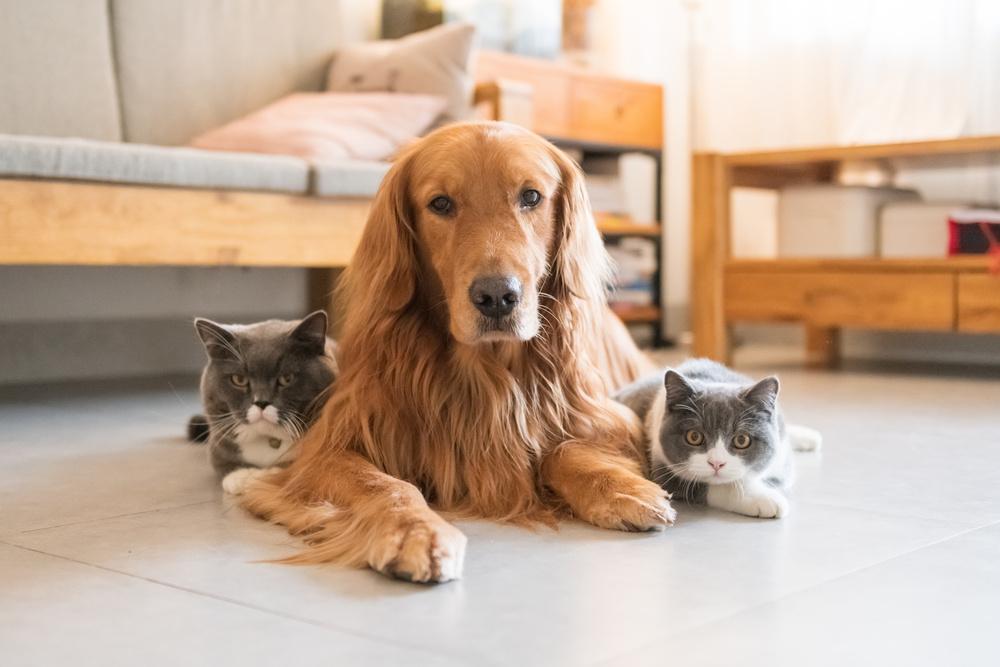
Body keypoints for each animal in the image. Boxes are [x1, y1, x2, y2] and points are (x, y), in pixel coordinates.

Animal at [189, 310, 338, 494]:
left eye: (286, 378)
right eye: (239, 379)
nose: (261, 402)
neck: (269, 439)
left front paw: (266, 475)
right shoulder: (218, 443)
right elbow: (223, 463)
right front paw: (241, 476)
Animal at [243, 122, 676, 580]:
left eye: (531, 197)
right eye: (441, 203)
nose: (497, 297)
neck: (485, 371)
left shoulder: (609, 417)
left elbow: (566, 448)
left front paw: (620, 488)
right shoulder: (326, 449)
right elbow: (385, 484)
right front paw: (414, 530)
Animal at [616, 360, 820, 520]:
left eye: (742, 440)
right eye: (694, 436)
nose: (716, 463)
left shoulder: (781, 459)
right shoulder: (661, 464)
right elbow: (710, 486)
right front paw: (763, 499)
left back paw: (809, 437)